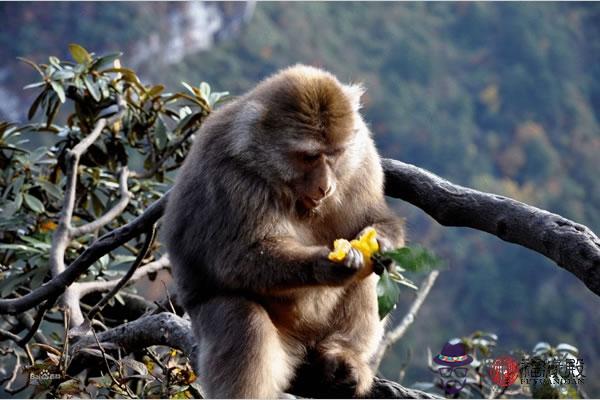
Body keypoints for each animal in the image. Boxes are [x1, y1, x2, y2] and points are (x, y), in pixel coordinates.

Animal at [162, 64, 406, 398]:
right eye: (308, 157)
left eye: (334, 154)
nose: (325, 186)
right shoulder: (230, 177)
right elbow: (237, 259)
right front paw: (324, 265)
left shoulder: (363, 160)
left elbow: (373, 219)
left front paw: (381, 242)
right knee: (244, 320)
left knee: (370, 275)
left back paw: (343, 356)